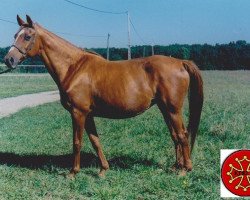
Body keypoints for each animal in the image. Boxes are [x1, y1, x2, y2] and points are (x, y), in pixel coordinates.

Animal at [3, 15, 203, 177]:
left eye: (27, 36)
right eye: (15, 35)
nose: (8, 60)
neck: (74, 67)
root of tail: (180, 62)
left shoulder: (78, 113)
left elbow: (77, 142)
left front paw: (73, 172)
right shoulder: (88, 114)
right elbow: (95, 141)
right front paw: (103, 170)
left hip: (172, 109)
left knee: (182, 135)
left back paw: (185, 170)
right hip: (165, 108)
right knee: (175, 135)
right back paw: (176, 166)